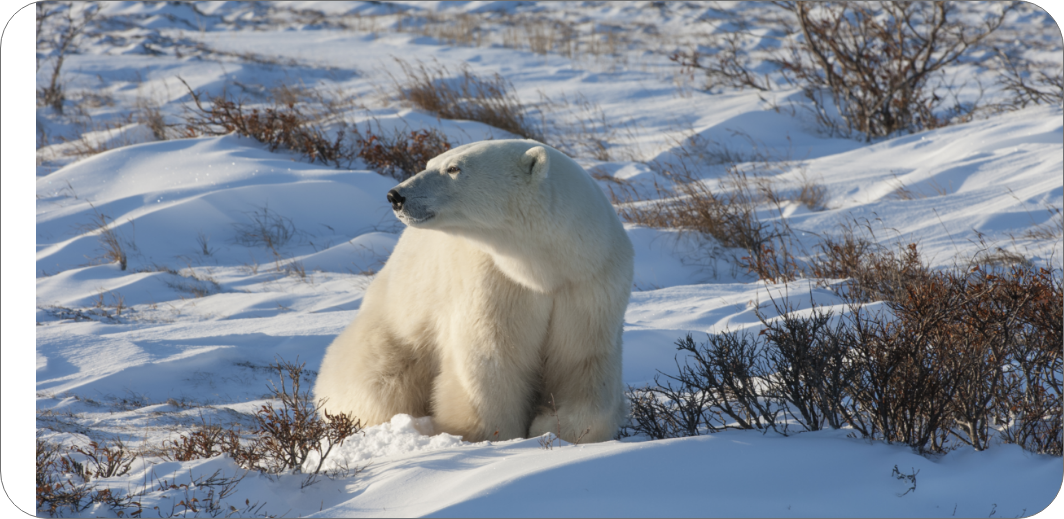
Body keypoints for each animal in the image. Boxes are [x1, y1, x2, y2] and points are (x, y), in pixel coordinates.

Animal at [312, 139, 629, 442]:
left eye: (453, 168)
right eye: (430, 162)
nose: (395, 196)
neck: (545, 270)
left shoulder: (588, 287)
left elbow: (582, 360)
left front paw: (553, 427)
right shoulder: (495, 281)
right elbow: (490, 358)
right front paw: (493, 436)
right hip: (392, 329)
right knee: (378, 380)